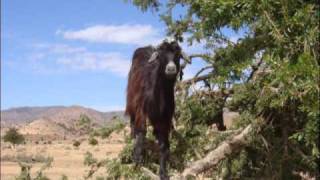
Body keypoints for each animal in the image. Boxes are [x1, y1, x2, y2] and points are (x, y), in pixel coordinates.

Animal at [125, 41, 181, 180]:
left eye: (178, 55)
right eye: (161, 56)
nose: (171, 69)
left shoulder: (165, 117)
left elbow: (164, 144)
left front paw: (163, 172)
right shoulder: (141, 108)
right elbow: (141, 131)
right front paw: (137, 159)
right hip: (132, 102)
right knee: (134, 124)